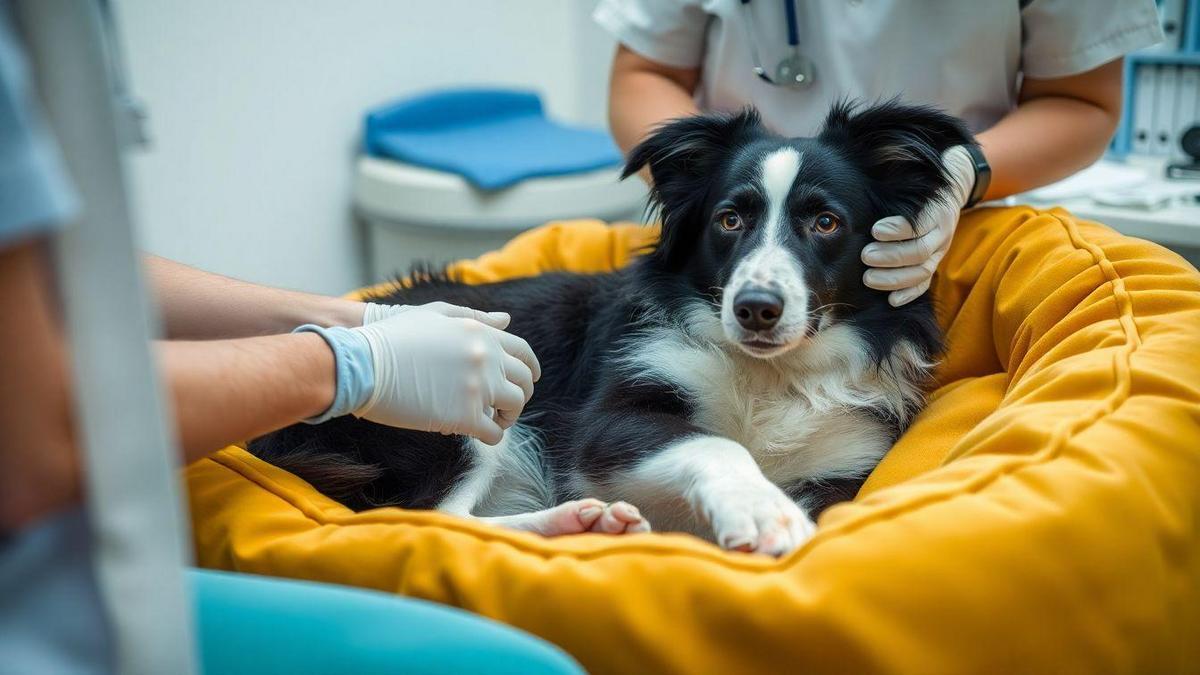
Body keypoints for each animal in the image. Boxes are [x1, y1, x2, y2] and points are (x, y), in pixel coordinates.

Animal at [253, 98, 974, 552]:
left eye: (825, 221)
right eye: (729, 219)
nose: (755, 308)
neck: (771, 371)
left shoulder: (850, 457)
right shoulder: (608, 419)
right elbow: (714, 443)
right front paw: (762, 509)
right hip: (454, 405)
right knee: (434, 519)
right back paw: (573, 524)